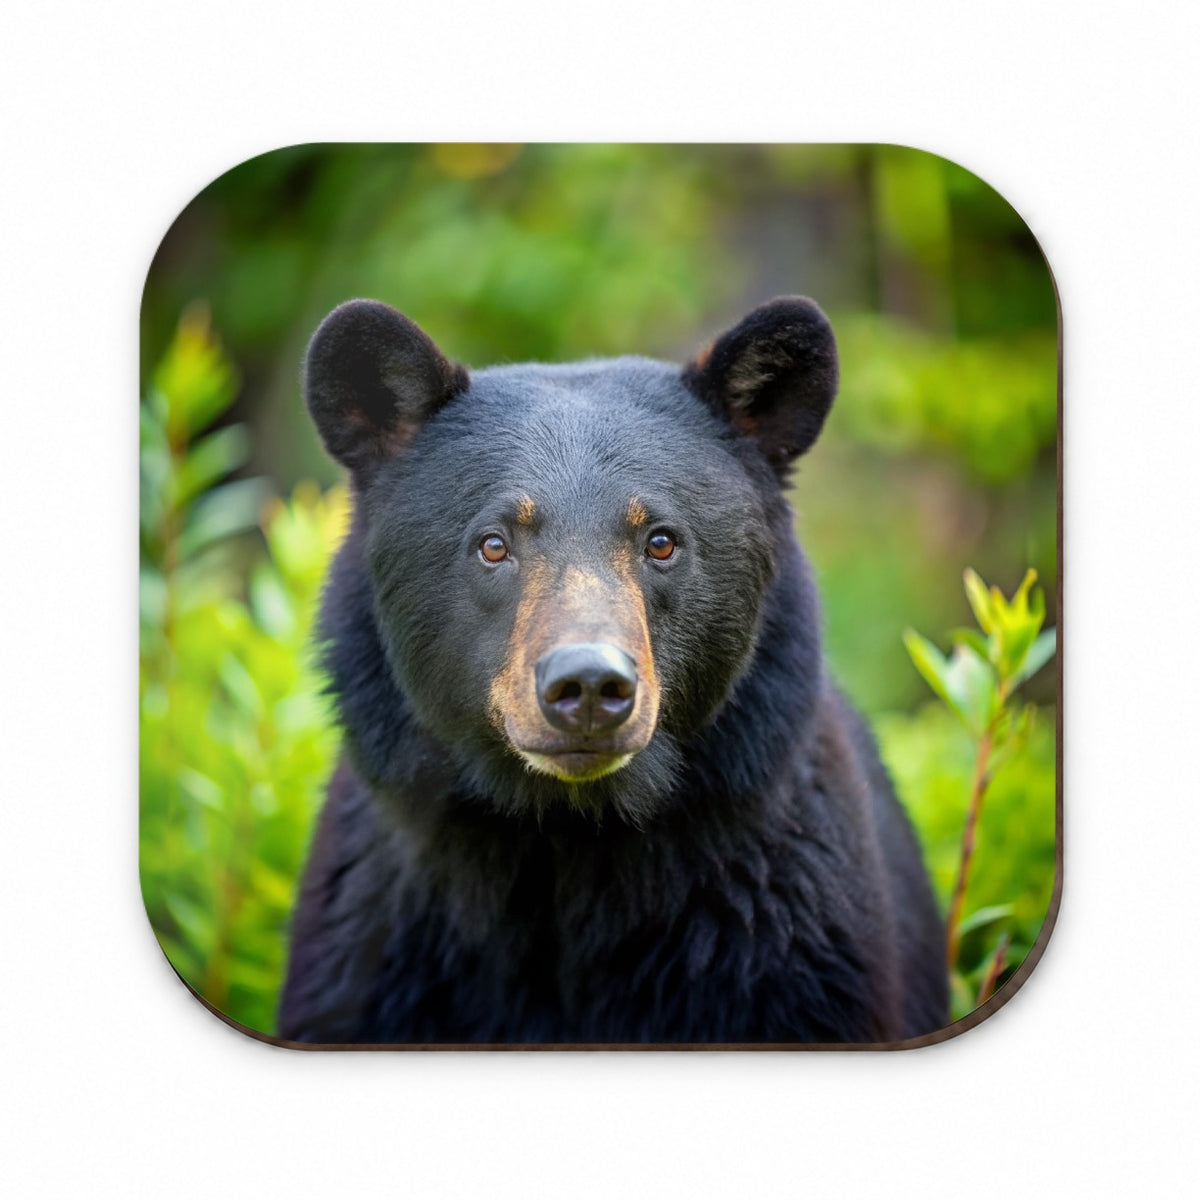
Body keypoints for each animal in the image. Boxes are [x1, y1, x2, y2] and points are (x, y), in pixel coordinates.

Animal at [277, 296, 948, 1045]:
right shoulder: (376, 942)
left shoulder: (785, 940)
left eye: (661, 541)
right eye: (493, 544)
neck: (569, 838)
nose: (590, 686)